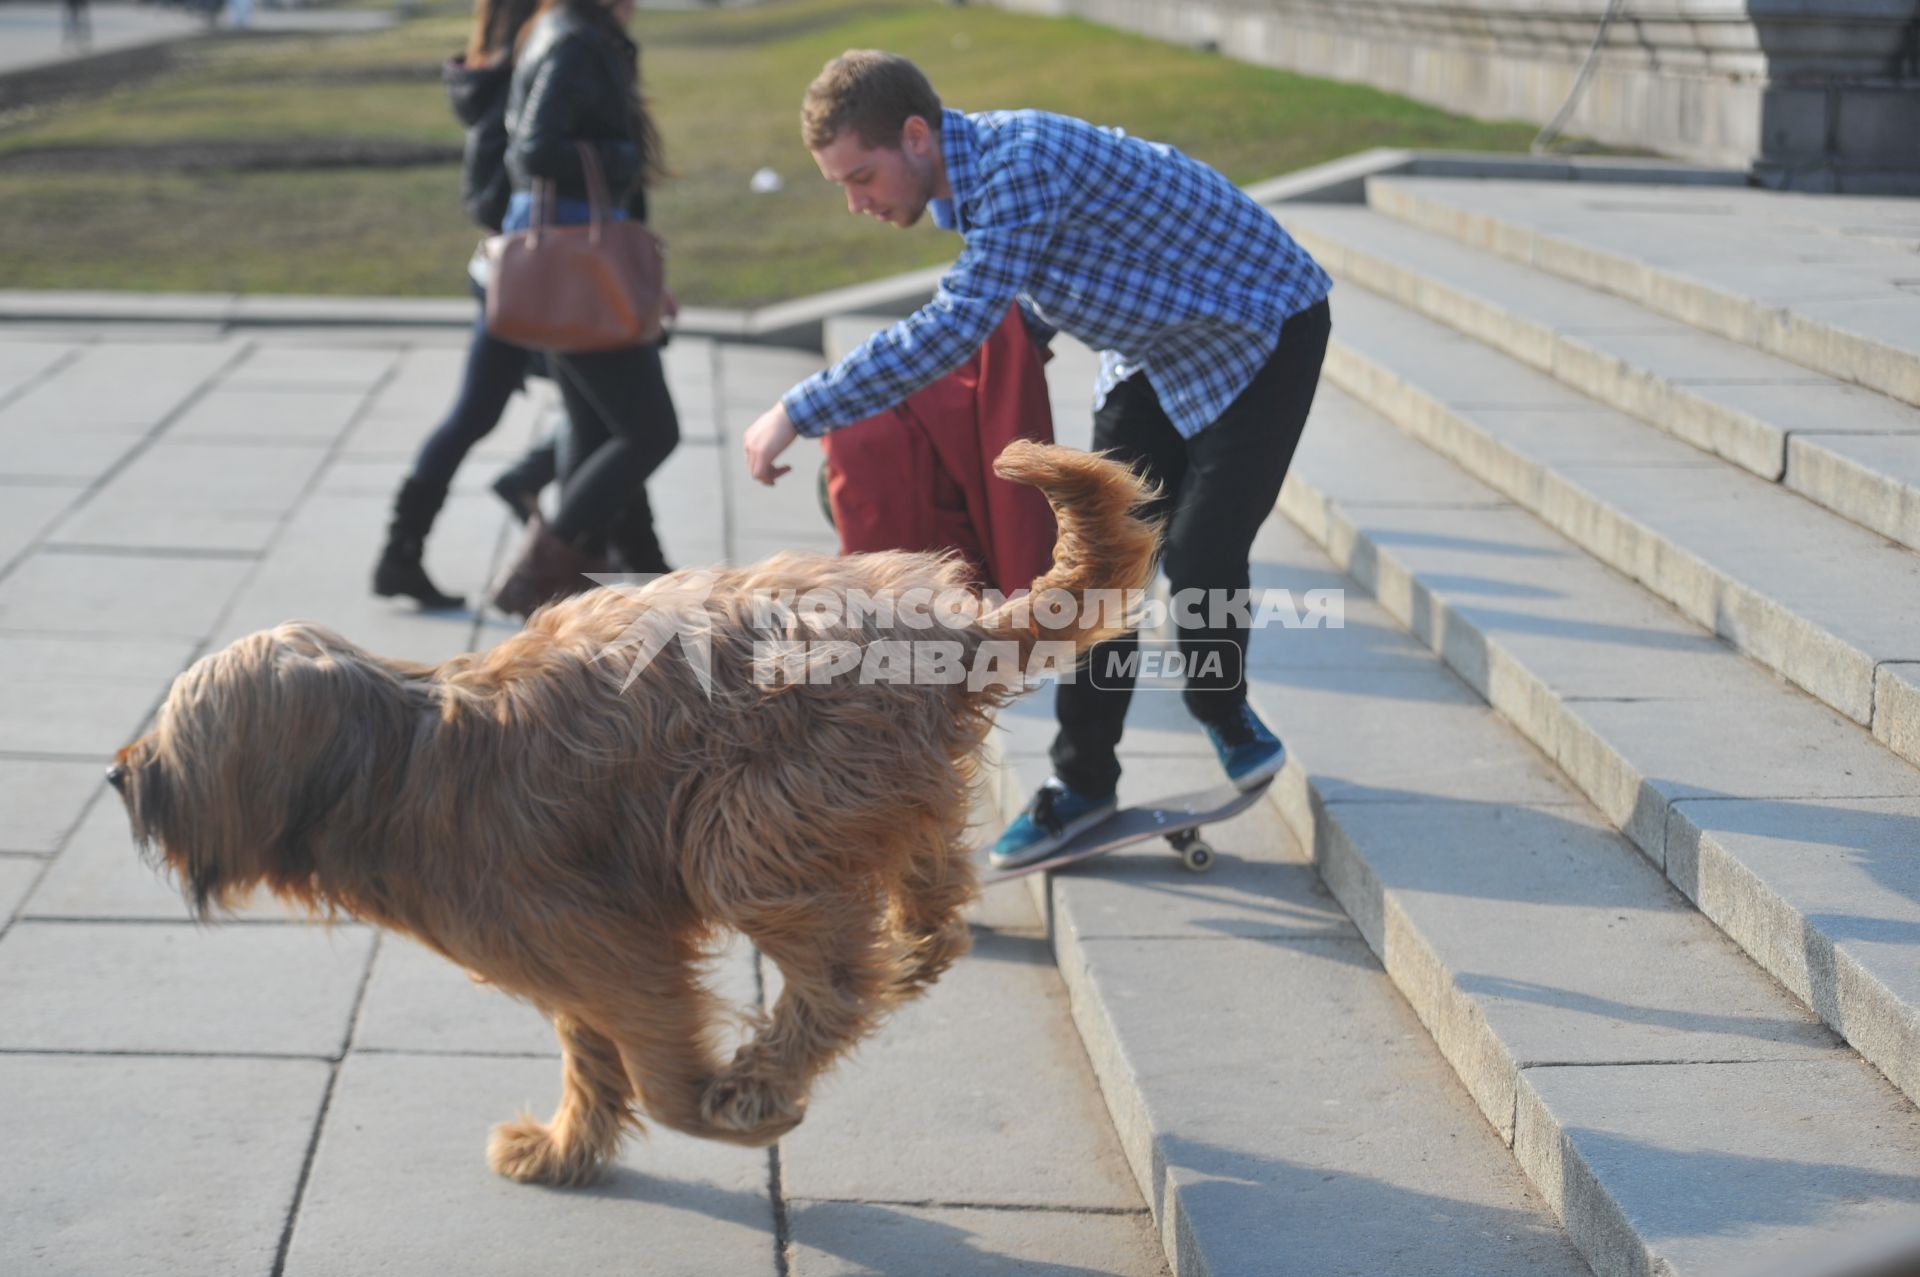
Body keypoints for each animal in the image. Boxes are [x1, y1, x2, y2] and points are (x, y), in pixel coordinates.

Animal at [112, 437, 1152, 1182]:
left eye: (181, 735)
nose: (120, 775)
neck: (397, 763)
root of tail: (952, 627)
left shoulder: (609, 941)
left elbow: (651, 1054)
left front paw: (718, 1114)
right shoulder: (566, 955)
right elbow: (591, 1052)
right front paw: (567, 1146)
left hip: (752, 823)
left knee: (839, 977)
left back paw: (762, 1080)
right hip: (866, 794)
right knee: (928, 887)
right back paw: (926, 940)